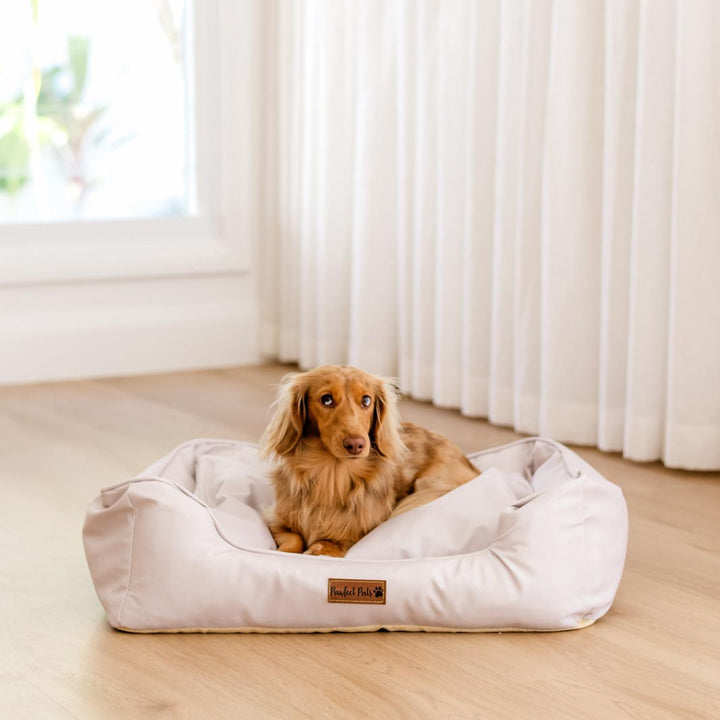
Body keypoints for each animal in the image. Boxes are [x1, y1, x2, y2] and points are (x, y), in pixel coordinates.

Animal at [258, 366, 478, 556]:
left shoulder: (353, 535)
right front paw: (283, 553)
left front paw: (318, 549)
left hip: (428, 483)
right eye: (326, 399)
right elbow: (292, 537)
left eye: (366, 400)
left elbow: (329, 542)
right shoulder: (276, 519)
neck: (332, 476)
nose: (356, 444)